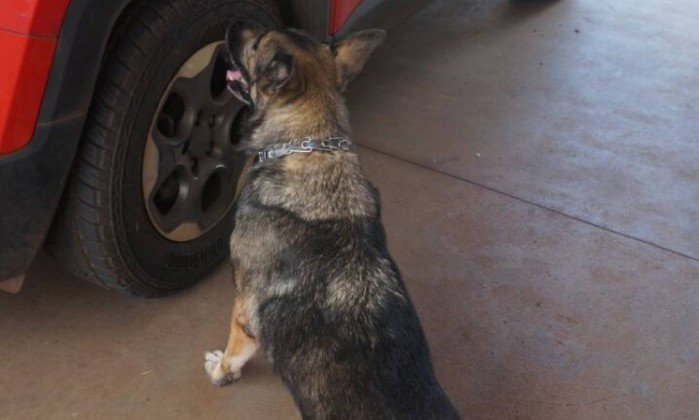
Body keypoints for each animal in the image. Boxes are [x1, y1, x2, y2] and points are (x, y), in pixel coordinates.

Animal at [202, 23, 462, 420]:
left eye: (258, 43)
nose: (233, 25)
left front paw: (221, 371)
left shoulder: (243, 309)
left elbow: (235, 351)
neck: (311, 147)